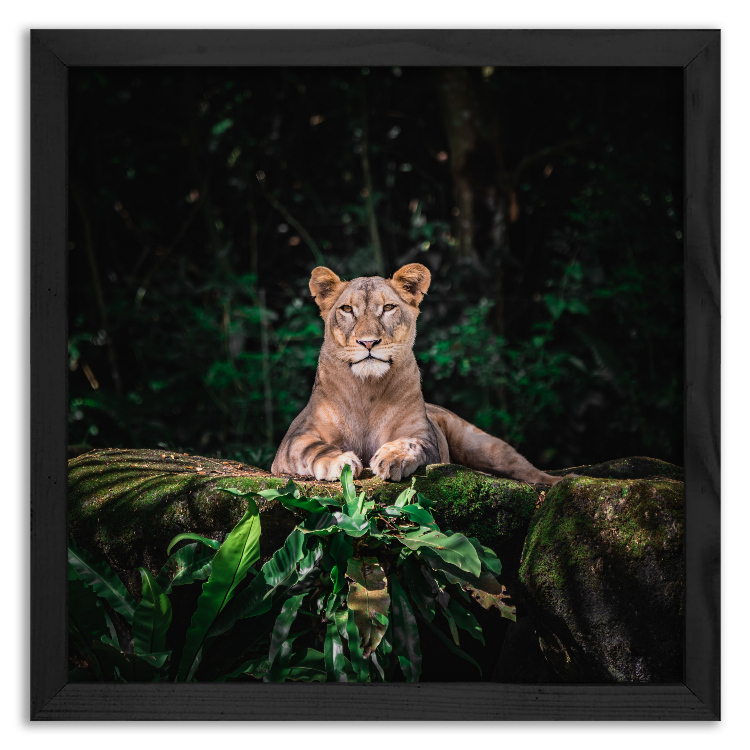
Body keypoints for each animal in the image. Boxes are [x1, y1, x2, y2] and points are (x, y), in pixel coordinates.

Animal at [271, 263, 574, 486]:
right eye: (347, 309)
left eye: (388, 308)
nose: (368, 342)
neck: (367, 390)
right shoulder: (293, 441)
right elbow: (313, 448)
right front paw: (339, 462)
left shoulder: (424, 435)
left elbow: (412, 444)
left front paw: (393, 458)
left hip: (482, 444)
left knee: (525, 469)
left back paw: (561, 482)